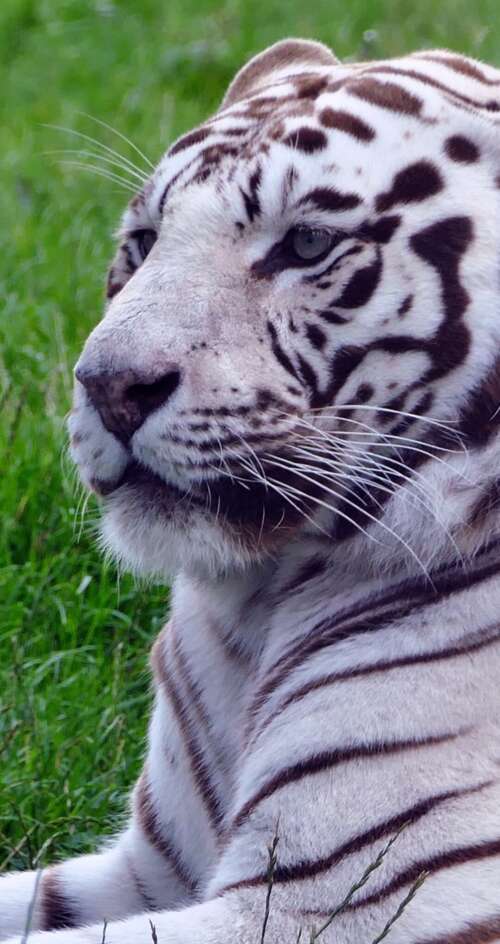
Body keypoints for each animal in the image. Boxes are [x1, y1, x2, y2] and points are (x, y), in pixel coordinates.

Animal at [4, 33, 500, 944]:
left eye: (305, 245)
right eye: (144, 240)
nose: (108, 386)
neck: (259, 607)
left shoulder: (336, 901)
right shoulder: (150, 868)